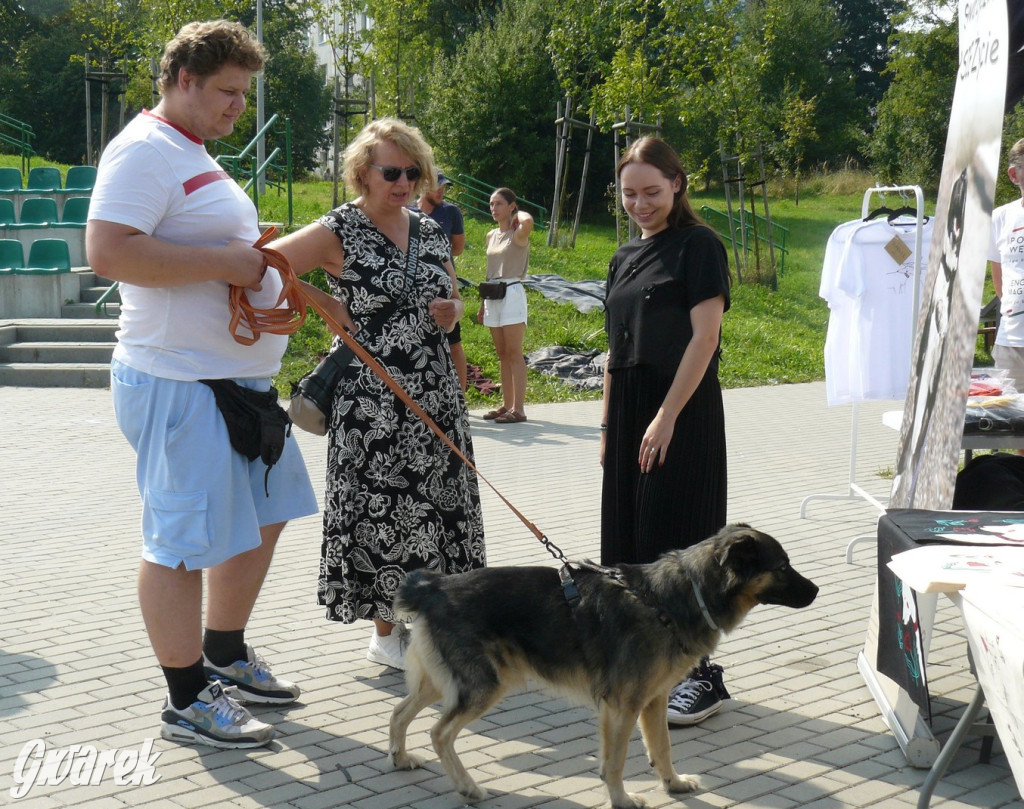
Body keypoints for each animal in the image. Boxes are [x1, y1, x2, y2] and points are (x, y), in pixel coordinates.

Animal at [387, 522, 819, 806]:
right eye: (782, 567)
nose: (816, 590)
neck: (670, 599)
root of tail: (433, 586)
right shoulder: (622, 707)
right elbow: (614, 762)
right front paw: (622, 800)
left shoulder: (653, 700)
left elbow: (662, 748)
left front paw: (673, 784)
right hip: (484, 686)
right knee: (440, 733)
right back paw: (468, 787)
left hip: (443, 683)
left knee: (399, 712)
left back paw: (400, 757)